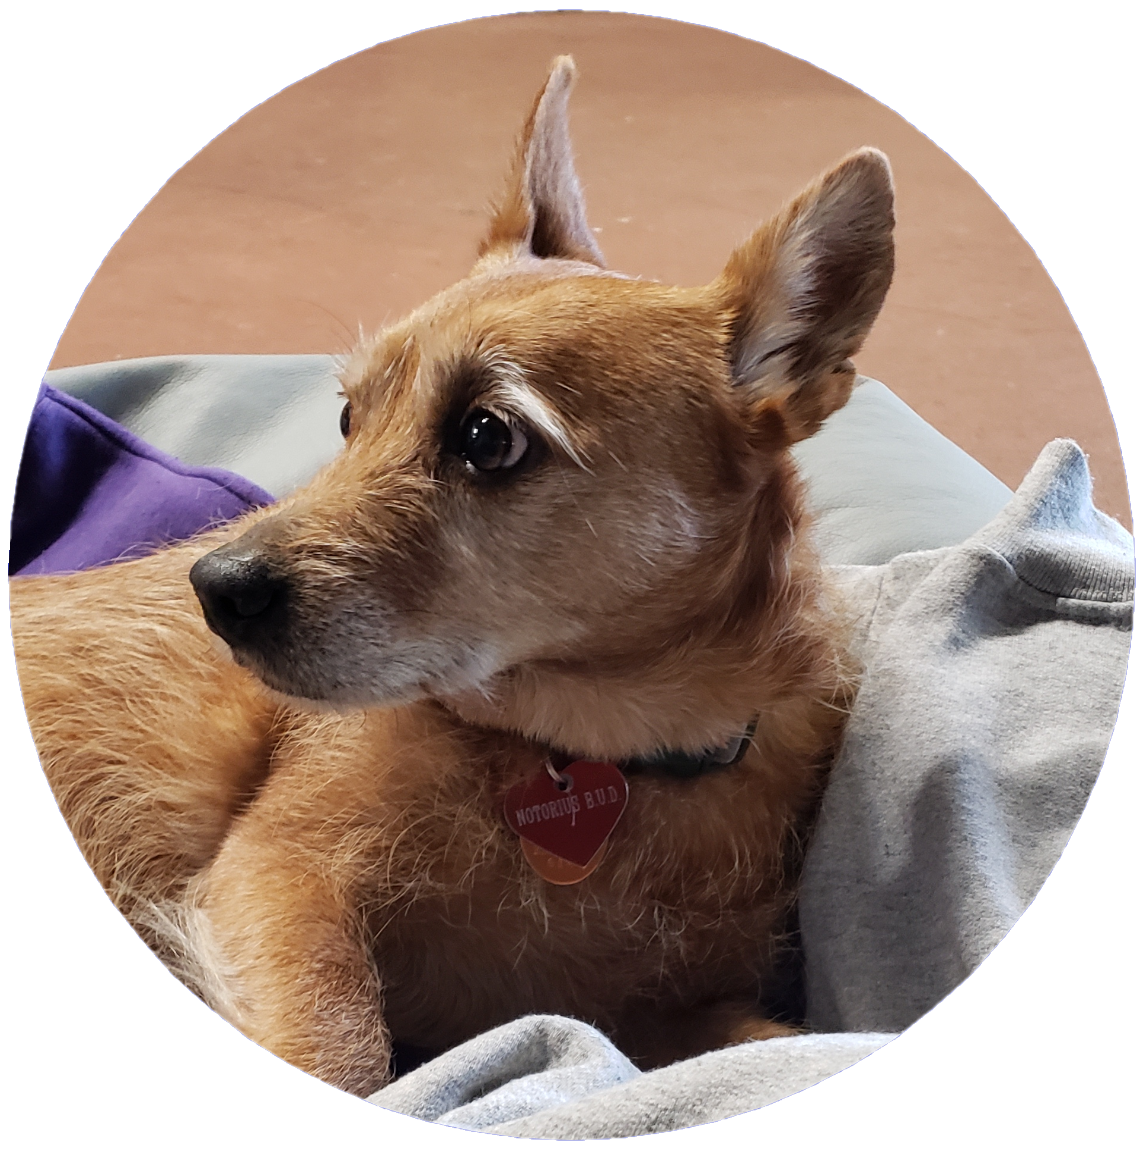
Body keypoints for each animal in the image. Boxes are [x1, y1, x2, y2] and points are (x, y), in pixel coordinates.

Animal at [10, 57, 894, 1098]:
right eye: (349, 417)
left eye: (486, 436)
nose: (215, 588)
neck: (595, 757)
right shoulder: (277, 874)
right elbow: (346, 1049)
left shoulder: (661, 1015)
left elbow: (790, 1044)